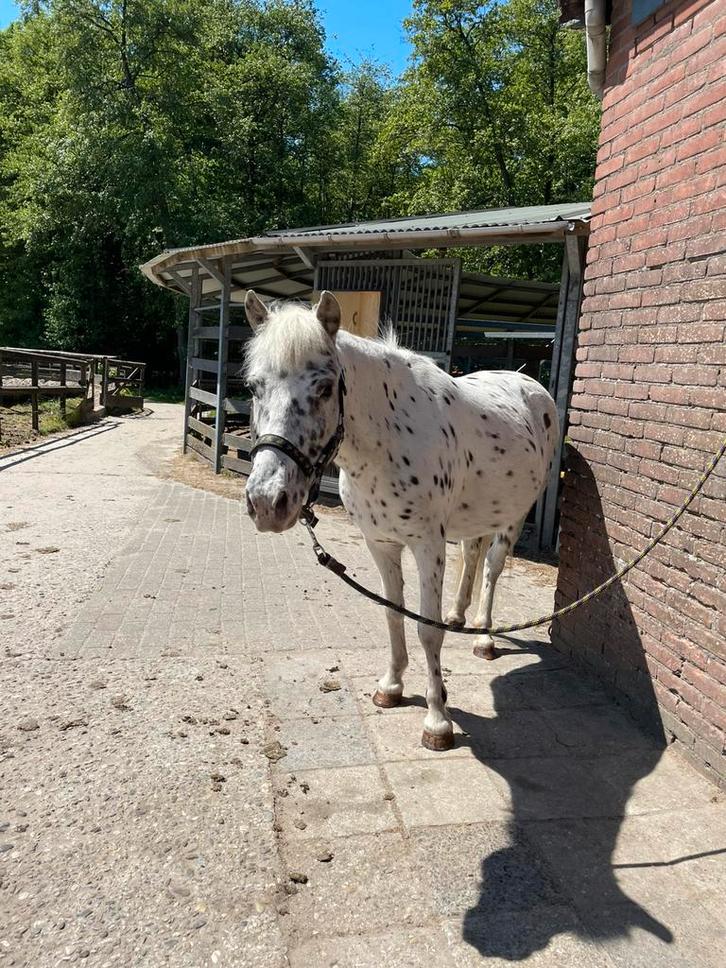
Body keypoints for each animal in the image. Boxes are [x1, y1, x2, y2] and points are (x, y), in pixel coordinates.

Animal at [243, 290, 559, 751]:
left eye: (323, 388)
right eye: (253, 387)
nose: (268, 502)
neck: (388, 442)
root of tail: (529, 384)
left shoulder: (428, 546)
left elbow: (428, 631)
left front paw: (437, 720)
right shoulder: (381, 543)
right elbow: (393, 613)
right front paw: (390, 687)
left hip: (512, 519)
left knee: (492, 570)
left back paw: (483, 635)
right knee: (473, 554)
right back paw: (458, 616)